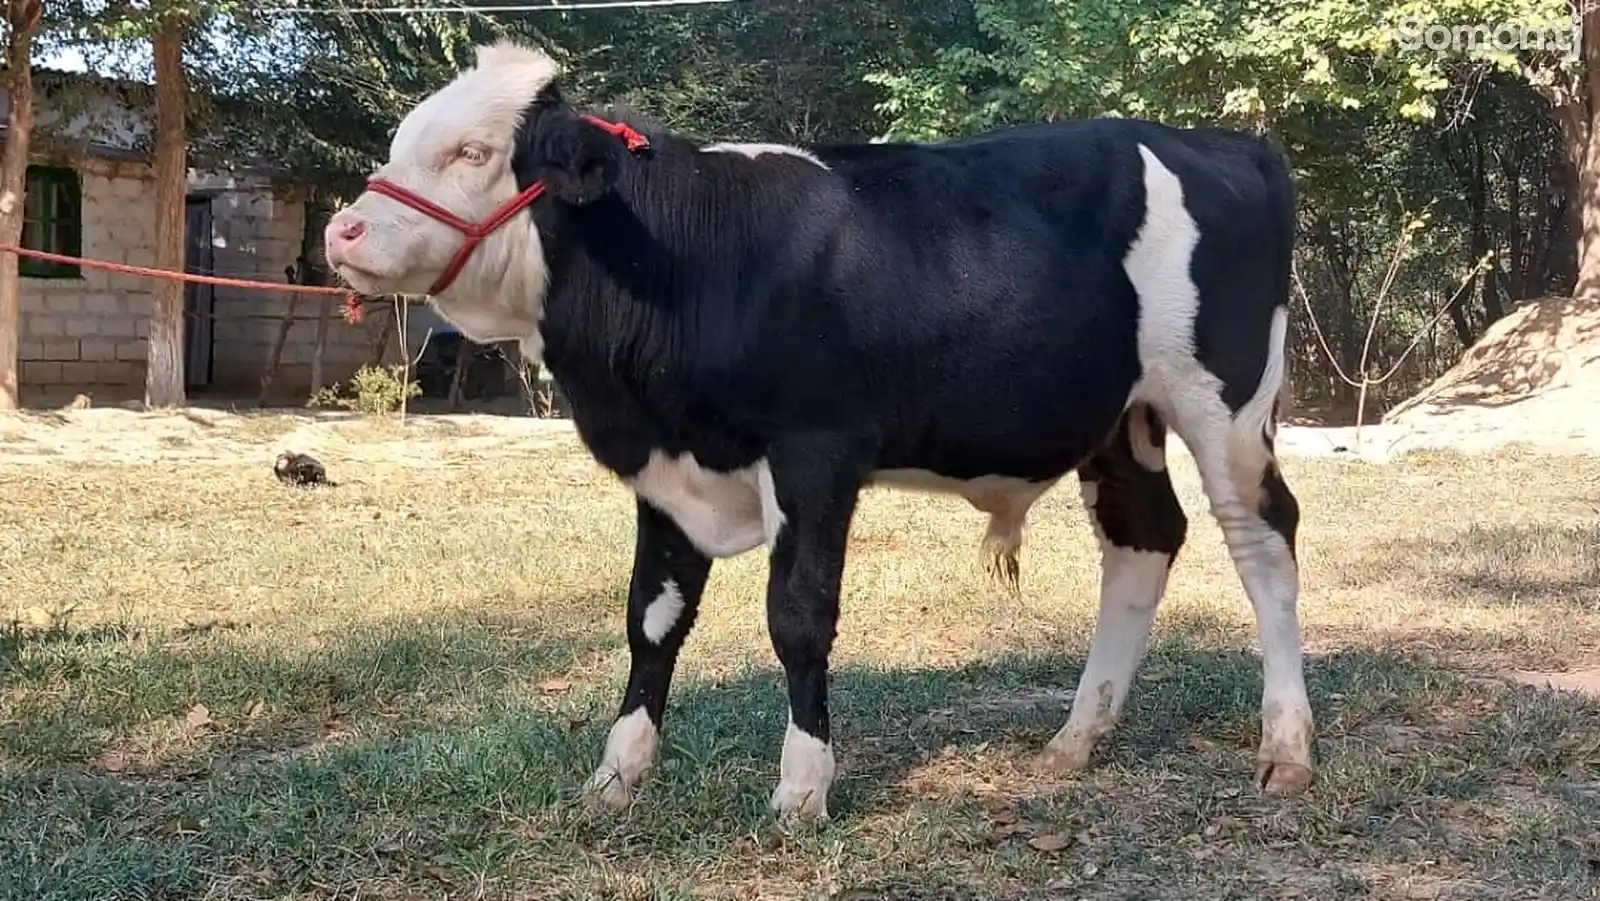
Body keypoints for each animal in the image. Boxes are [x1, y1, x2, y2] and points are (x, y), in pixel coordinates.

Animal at [321, 42, 1312, 825]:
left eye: (473, 151)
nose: (344, 228)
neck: (689, 258)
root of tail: (1228, 142)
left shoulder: (815, 455)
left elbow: (797, 617)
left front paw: (802, 788)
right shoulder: (669, 467)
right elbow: (651, 619)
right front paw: (616, 776)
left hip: (1224, 403)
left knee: (1263, 541)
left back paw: (1287, 745)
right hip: (1118, 416)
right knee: (1144, 538)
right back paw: (1078, 735)